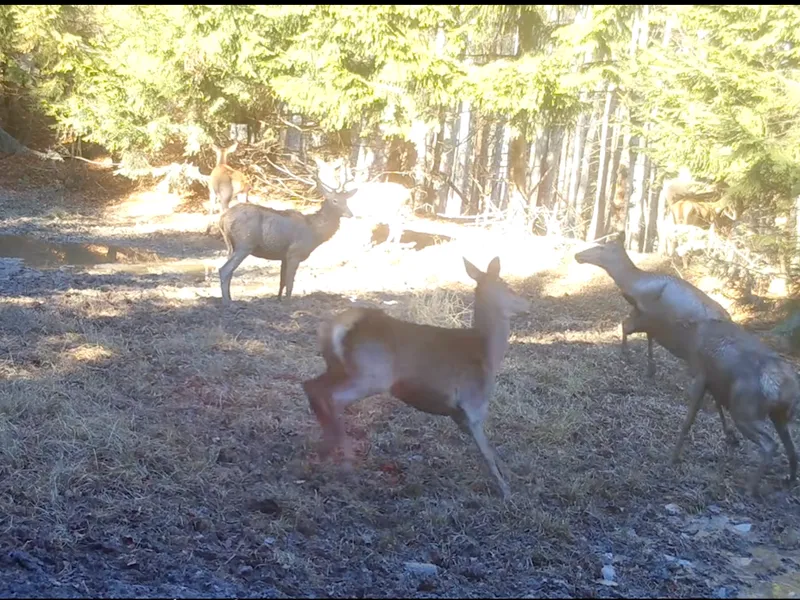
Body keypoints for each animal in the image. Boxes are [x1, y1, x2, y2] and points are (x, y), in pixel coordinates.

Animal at [219, 175, 356, 304]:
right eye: (335, 201)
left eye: (346, 201)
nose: (350, 214)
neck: (314, 232)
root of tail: (223, 218)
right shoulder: (294, 253)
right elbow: (290, 283)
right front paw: (288, 302)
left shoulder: (284, 256)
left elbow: (282, 281)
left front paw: (278, 300)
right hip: (244, 244)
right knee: (224, 270)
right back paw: (227, 302)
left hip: (231, 246)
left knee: (229, 271)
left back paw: (230, 298)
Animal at [300, 255, 532, 500]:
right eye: (507, 286)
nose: (527, 305)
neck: (487, 352)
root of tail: (337, 327)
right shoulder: (473, 404)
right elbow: (487, 451)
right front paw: (506, 491)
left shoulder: (458, 414)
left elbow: (491, 450)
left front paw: (511, 478)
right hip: (371, 375)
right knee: (334, 398)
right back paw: (346, 465)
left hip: (339, 368)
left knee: (312, 386)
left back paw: (323, 453)